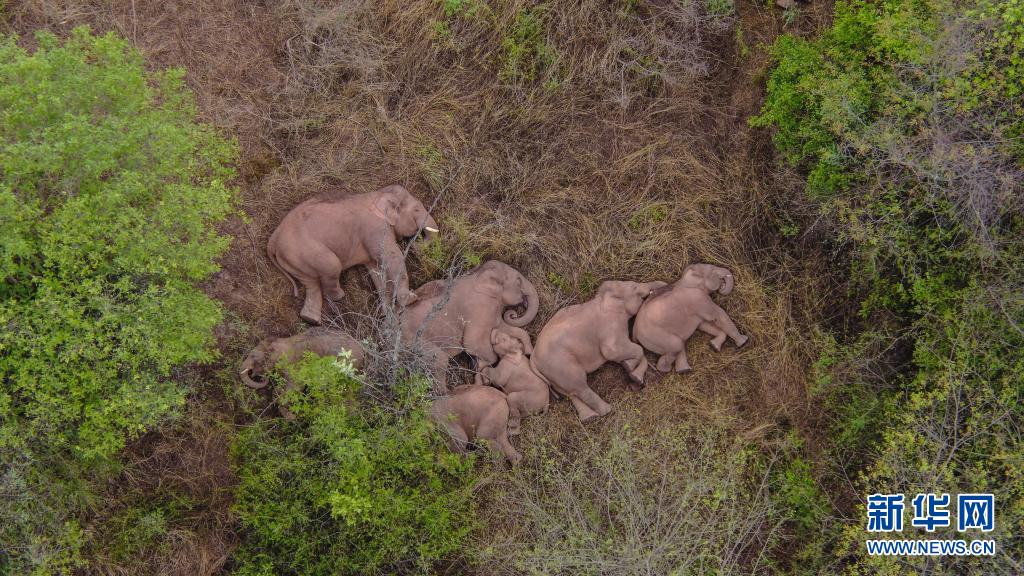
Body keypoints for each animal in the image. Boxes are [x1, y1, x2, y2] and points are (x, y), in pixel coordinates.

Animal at [237, 327, 366, 416]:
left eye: (253, 356)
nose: (263, 377)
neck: (284, 342)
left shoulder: (296, 366)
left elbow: (293, 387)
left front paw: (292, 417)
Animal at [266, 183, 438, 323]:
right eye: (416, 209)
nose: (414, 242)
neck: (377, 194)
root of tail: (273, 240)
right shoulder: (375, 227)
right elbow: (391, 256)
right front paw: (410, 300)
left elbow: (376, 269)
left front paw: (387, 313)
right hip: (305, 251)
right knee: (331, 266)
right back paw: (339, 296)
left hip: (294, 259)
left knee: (311, 283)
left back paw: (310, 319)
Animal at [401, 259, 540, 389]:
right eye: (519, 281)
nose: (513, 314)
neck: (478, 274)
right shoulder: (480, 307)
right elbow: (472, 343)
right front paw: (480, 368)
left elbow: (504, 328)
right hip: (416, 341)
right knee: (440, 360)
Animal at [532, 278, 667, 420]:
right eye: (634, 286)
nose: (663, 285)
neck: (603, 298)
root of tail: (533, 359)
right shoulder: (610, 325)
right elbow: (615, 351)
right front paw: (630, 368)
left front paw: (631, 371)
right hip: (560, 364)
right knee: (579, 385)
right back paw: (606, 411)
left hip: (552, 373)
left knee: (570, 392)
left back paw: (589, 417)